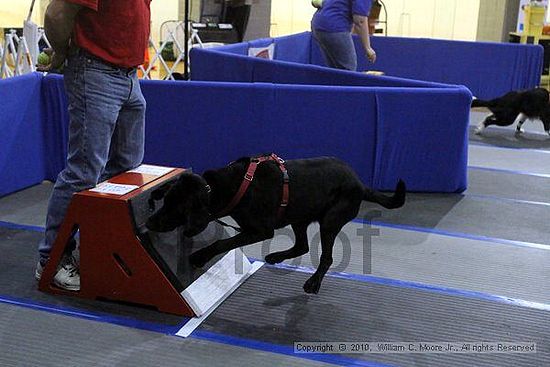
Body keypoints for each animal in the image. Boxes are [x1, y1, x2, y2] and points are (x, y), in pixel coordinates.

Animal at [146, 157, 406, 294]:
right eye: (165, 201)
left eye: (175, 207)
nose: (148, 221)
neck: (221, 188)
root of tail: (360, 184)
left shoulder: (259, 230)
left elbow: (223, 242)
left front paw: (199, 257)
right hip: (299, 216)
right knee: (302, 246)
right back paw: (276, 256)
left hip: (330, 221)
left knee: (326, 257)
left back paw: (313, 283)